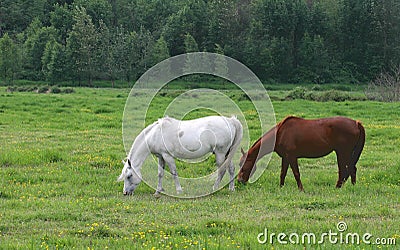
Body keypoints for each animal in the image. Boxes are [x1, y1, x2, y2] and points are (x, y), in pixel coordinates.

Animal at [238, 116, 366, 190]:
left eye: (243, 165)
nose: (239, 181)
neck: (280, 133)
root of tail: (356, 123)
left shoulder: (291, 156)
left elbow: (296, 173)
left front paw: (301, 189)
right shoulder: (285, 157)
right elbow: (283, 173)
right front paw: (281, 187)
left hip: (343, 152)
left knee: (345, 170)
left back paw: (338, 187)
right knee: (352, 169)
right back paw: (352, 186)